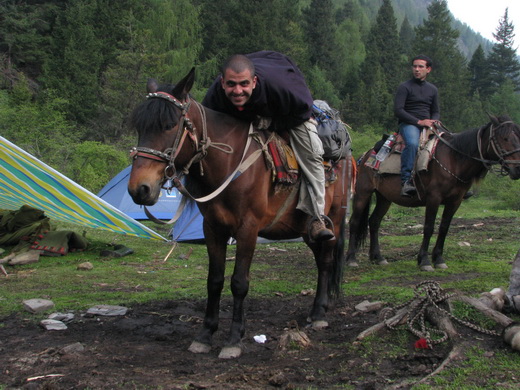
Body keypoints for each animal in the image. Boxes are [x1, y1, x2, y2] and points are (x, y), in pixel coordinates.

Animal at [127, 68, 354, 358]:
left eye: (168, 125)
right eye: (140, 127)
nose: (139, 189)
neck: (229, 162)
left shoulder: (248, 230)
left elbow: (239, 282)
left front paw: (234, 339)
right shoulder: (213, 228)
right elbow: (214, 280)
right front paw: (205, 334)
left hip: (333, 219)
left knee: (325, 261)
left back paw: (319, 314)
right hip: (305, 229)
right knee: (319, 258)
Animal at [346, 116, 520, 272]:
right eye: (504, 138)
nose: (517, 168)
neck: (454, 160)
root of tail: (366, 155)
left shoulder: (455, 201)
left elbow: (444, 228)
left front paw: (439, 259)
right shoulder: (433, 198)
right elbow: (429, 227)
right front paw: (424, 261)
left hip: (384, 198)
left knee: (374, 222)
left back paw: (378, 257)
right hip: (363, 193)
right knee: (355, 222)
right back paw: (351, 259)